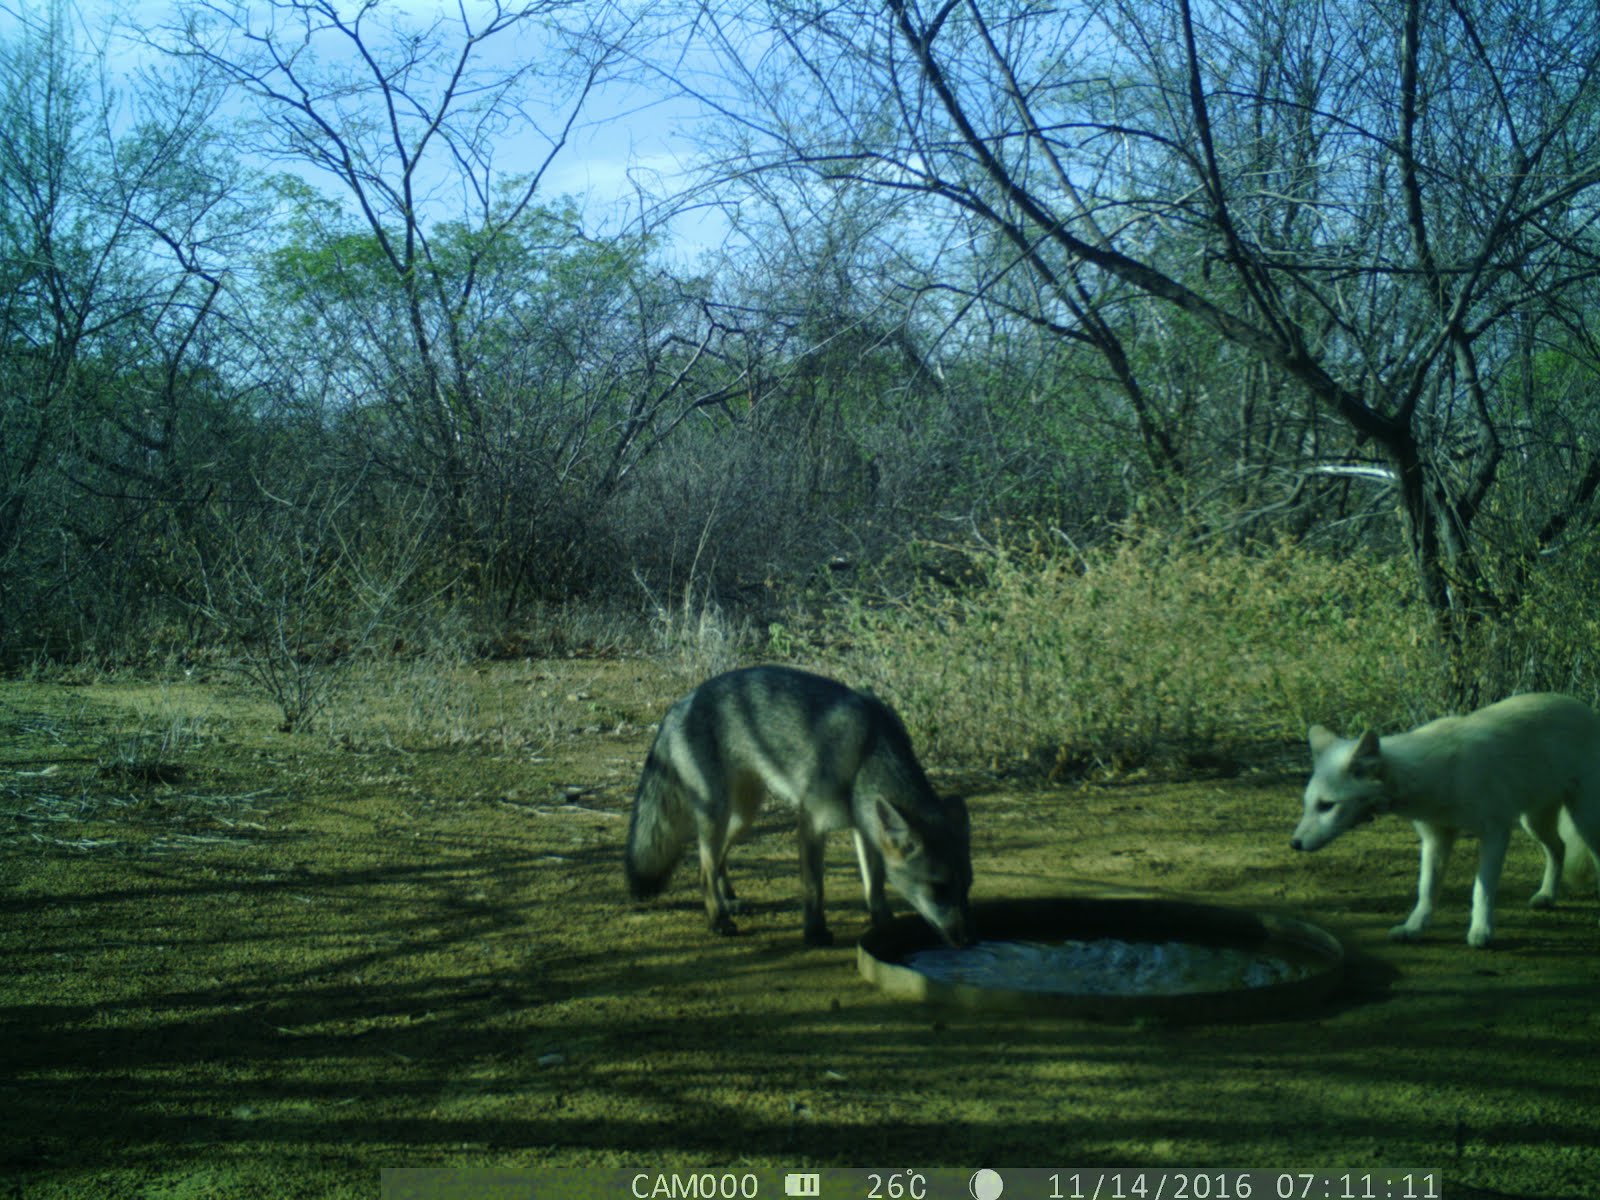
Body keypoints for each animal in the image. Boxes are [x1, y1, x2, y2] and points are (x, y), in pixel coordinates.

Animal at [624, 668, 972, 947]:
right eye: (938, 889)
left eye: (967, 888)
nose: (967, 940)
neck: (866, 753)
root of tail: (679, 703)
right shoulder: (811, 821)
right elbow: (815, 888)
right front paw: (815, 933)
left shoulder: (863, 828)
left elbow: (874, 887)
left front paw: (884, 924)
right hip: (716, 813)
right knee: (703, 869)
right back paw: (718, 919)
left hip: (743, 815)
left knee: (718, 859)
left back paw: (729, 900)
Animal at [1286, 694, 1600, 947]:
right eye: (1309, 805)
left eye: (1326, 806)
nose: (1294, 844)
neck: (1432, 775)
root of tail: (1585, 708)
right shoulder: (1435, 839)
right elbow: (1426, 890)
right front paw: (1413, 929)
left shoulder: (1495, 834)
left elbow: (1481, 890)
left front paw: (1481, 932)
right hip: (1533, 823)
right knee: (1559, 848)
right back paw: (1546, 896)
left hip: (1583, 822)